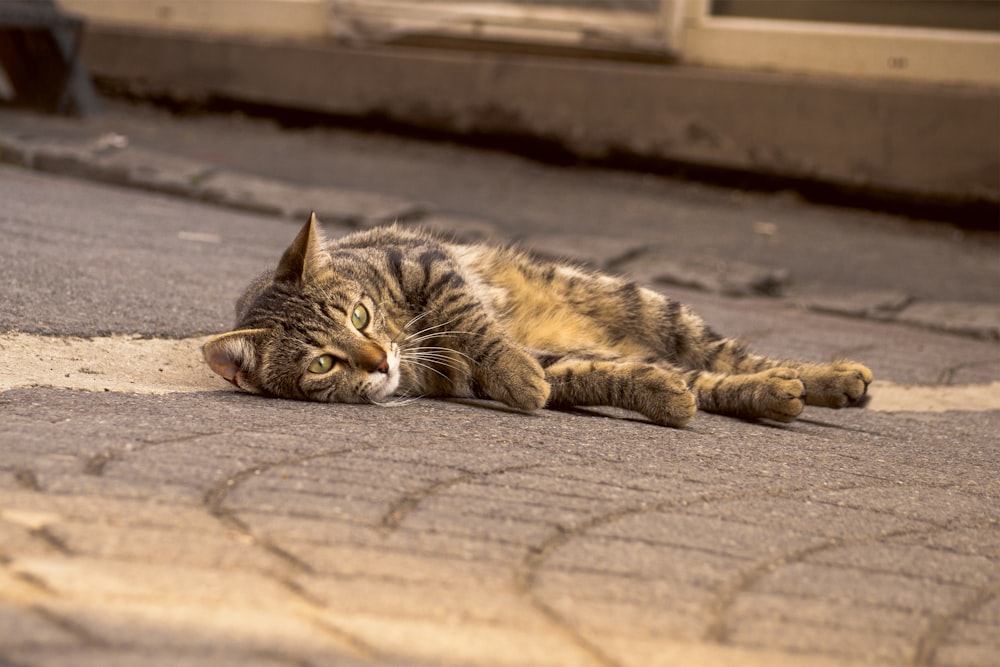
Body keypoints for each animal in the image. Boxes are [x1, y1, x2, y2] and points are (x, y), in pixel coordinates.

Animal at [201, 214, 868, 428]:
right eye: (322, 363)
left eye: (361, 315)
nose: (380, 359)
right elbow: (593, 376)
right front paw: (654, 394)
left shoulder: (427, 264)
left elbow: (474, 324)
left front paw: (514, 371)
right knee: (701, 376)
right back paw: (775, 393)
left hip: (651, 304)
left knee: (734, 355)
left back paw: (831, 377)